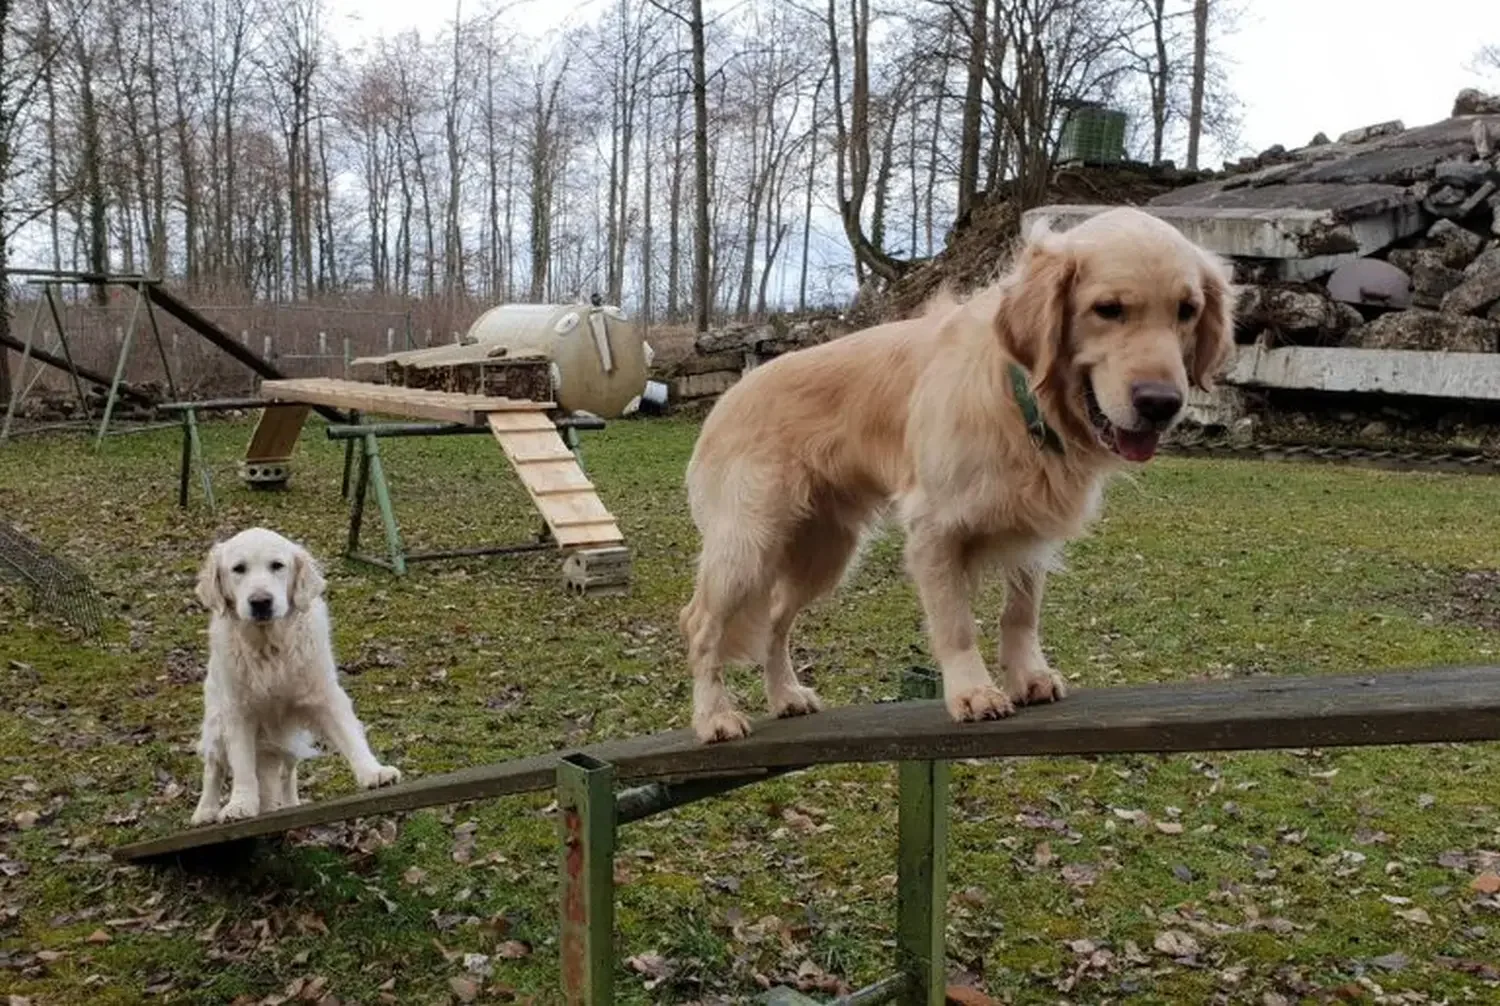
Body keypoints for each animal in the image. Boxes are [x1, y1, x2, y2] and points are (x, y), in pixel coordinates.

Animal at [190, 527, 402, 827]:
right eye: (238, 569)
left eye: (277, 565)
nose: (261, 602)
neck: (269, 646)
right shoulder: (238, 712)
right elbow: (242, 766)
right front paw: (240, 804)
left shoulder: (325, 696)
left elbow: (350, 735)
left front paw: (373, 772)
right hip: (217, 722)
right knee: (214, 766)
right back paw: (205, 810)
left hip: (287, 740)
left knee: (286, 773)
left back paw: (289, 804)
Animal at [681, 206, 1230, 740]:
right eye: (1109, 309)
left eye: (1187, 310)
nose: (1161, 404)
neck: (1019, 396)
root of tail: (728, 397)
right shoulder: (935, 530)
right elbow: (956, 625)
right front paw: (973, 692)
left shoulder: (1029, 528)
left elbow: (1021, 613)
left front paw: (1028, 676)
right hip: (748, 544)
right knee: (702, 626)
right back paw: (714, 717)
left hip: (824, 551)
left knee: (775, 621)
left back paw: (785, 695)